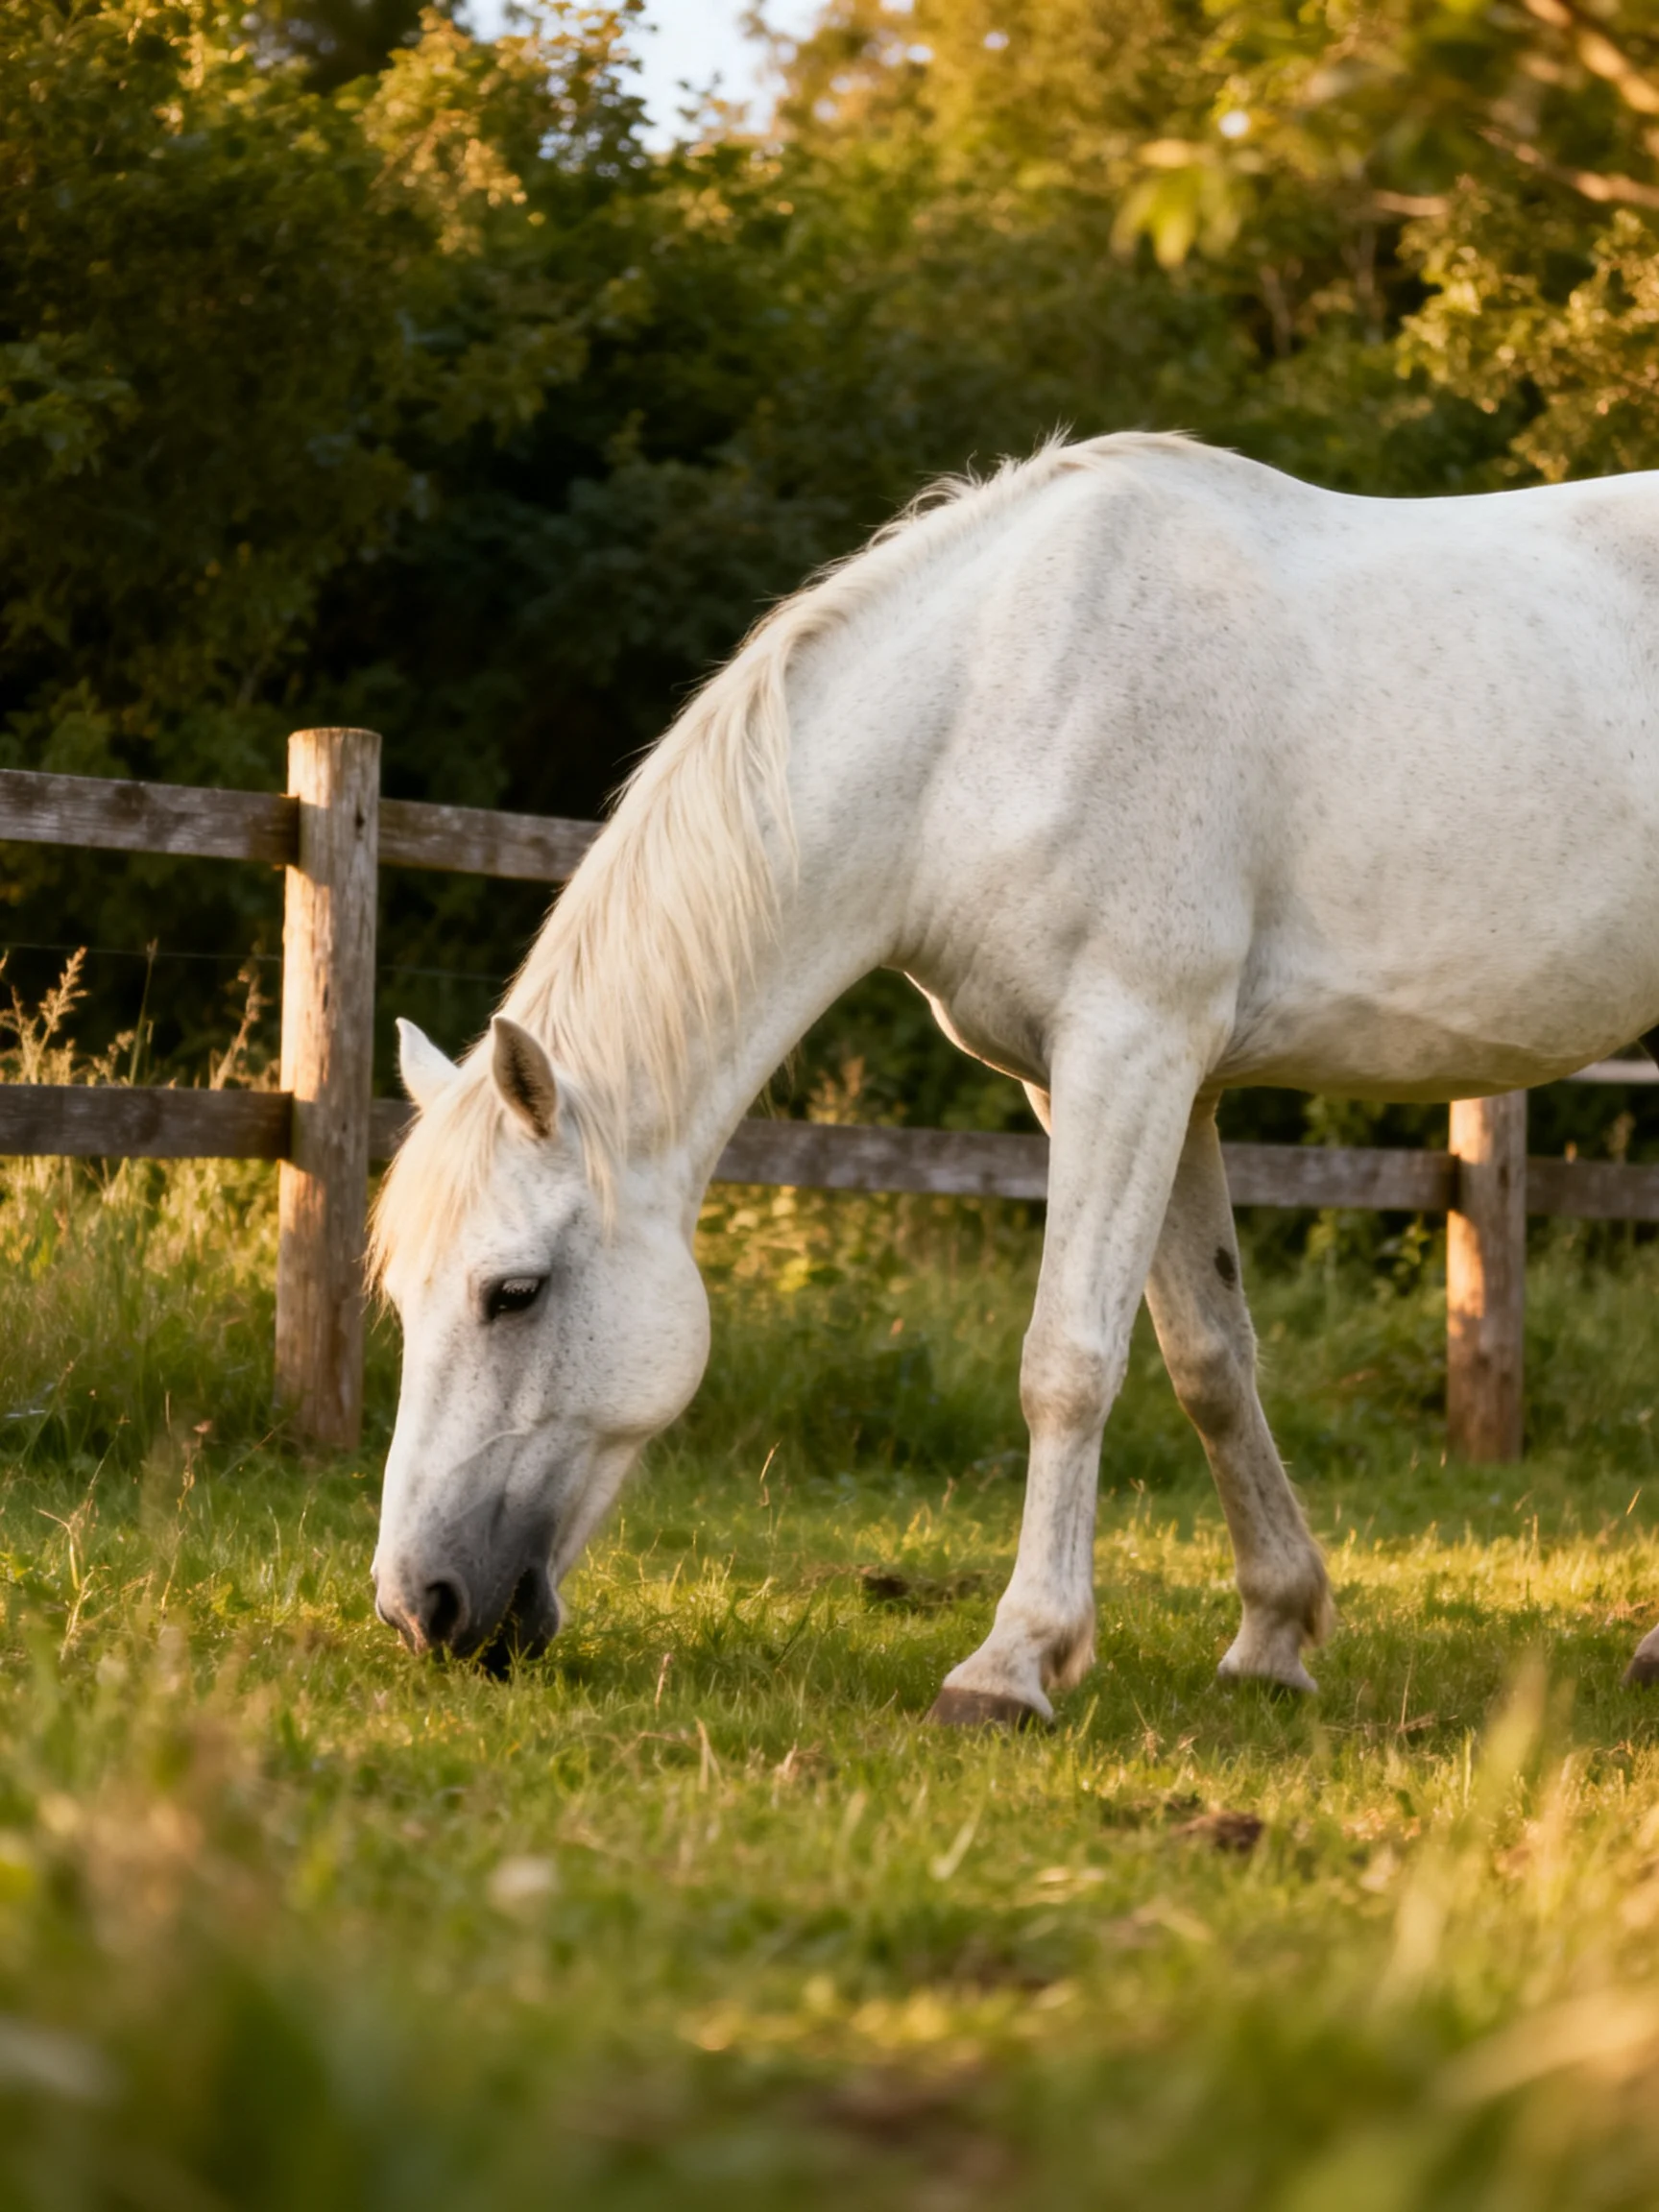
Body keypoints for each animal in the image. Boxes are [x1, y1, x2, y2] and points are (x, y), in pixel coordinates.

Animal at [368, 431, 1659, 1720]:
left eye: (513, 1293)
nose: (420, 1608)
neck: (991, 709)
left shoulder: (1129, 1051)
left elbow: (1069, 1362)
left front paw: (1012, 1662)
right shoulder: (1141, 1084)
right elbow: (1210, 1361)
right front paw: (1271, 1637)